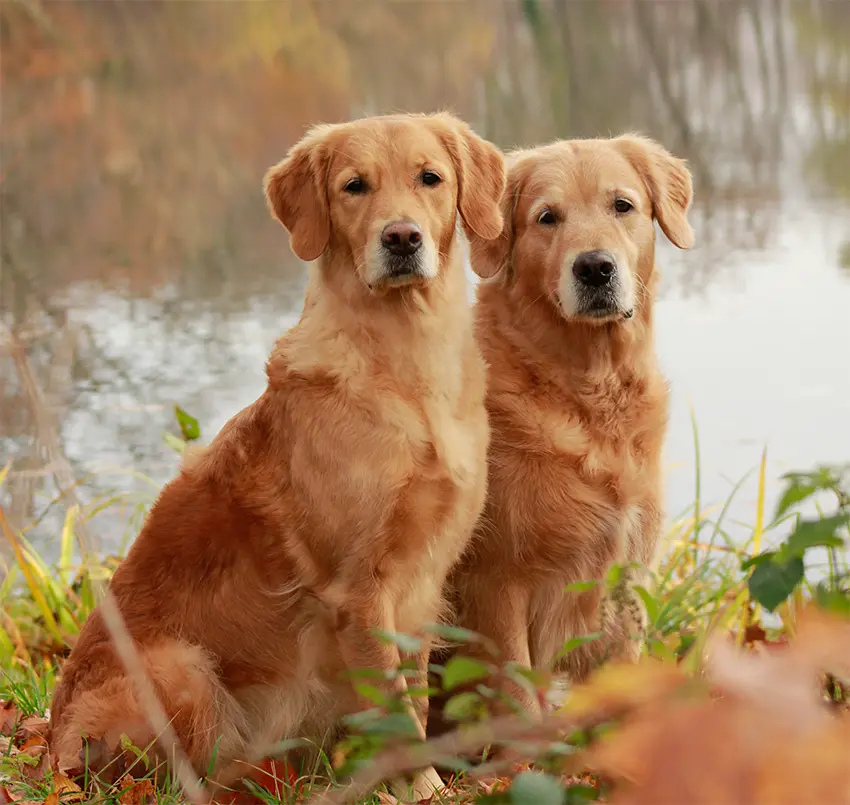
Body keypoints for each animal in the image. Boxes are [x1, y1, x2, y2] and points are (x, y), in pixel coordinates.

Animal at [49, 113, 504, 796]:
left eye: (430, 178)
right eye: (354, 186)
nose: (401, 238)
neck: (404, 360)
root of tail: (47, 749)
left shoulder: (421, 583)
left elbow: (417, 701)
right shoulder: (359, 592)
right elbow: (396, 713)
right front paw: (418, 791)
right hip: (183, 669)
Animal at [434, 133, 692, 724]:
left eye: (622, 205)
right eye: (547, 217)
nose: (594, 268)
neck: (588, 391)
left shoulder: (626, 581)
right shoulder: (496, 585)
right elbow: (518, 701)